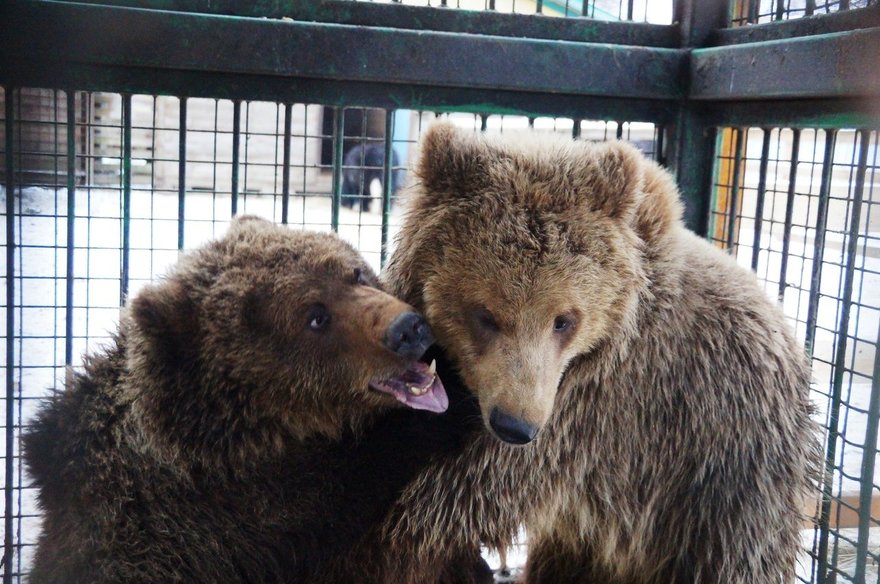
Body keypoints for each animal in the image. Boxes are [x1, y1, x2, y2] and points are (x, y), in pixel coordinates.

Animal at [344, 121, 820, 580]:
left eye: (564, 320)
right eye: (484, 314)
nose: (515, 425)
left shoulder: (598, 412)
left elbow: (450, 499)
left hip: (728, 481)